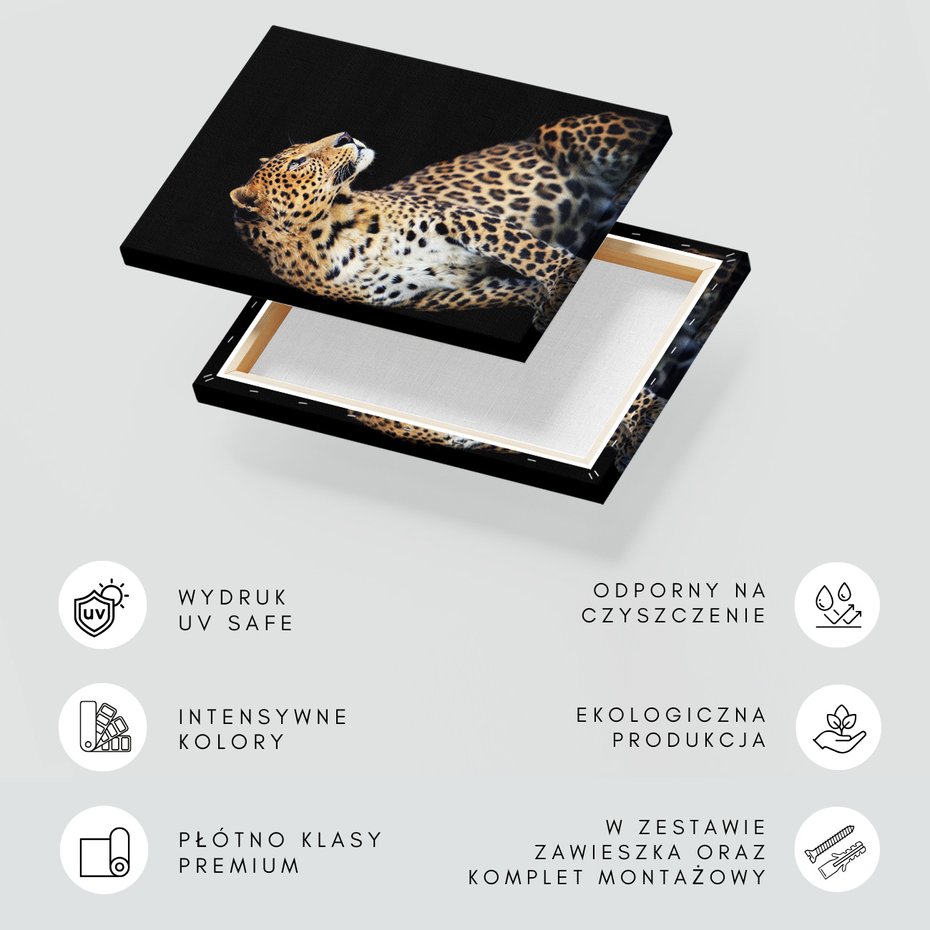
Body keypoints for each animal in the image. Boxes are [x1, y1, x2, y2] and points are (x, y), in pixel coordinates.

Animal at [230, 112, 666, 329]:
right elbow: (506, 288)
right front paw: (545, 296)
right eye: (297, 162)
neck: (334, 231)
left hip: (560, 131)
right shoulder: (435, 292)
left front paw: (564, 277)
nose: (345, 135)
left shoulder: (455, 216)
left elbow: (523, 249)